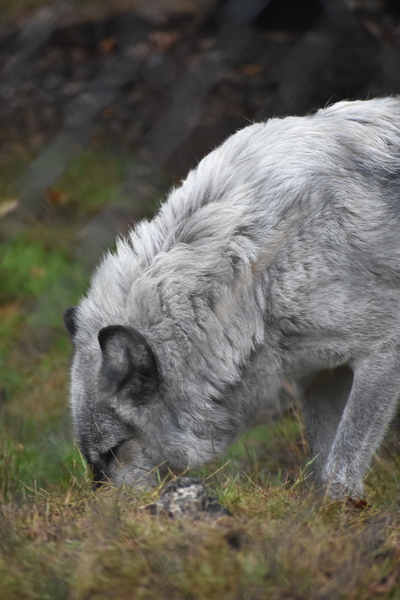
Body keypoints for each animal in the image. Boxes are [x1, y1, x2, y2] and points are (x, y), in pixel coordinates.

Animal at [64, 97, 400, 499]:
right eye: (93, 462)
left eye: (114, 451)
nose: (103, 512)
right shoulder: (320, 374)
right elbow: (324, 467)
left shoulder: (381, 354)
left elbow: (340, 470)